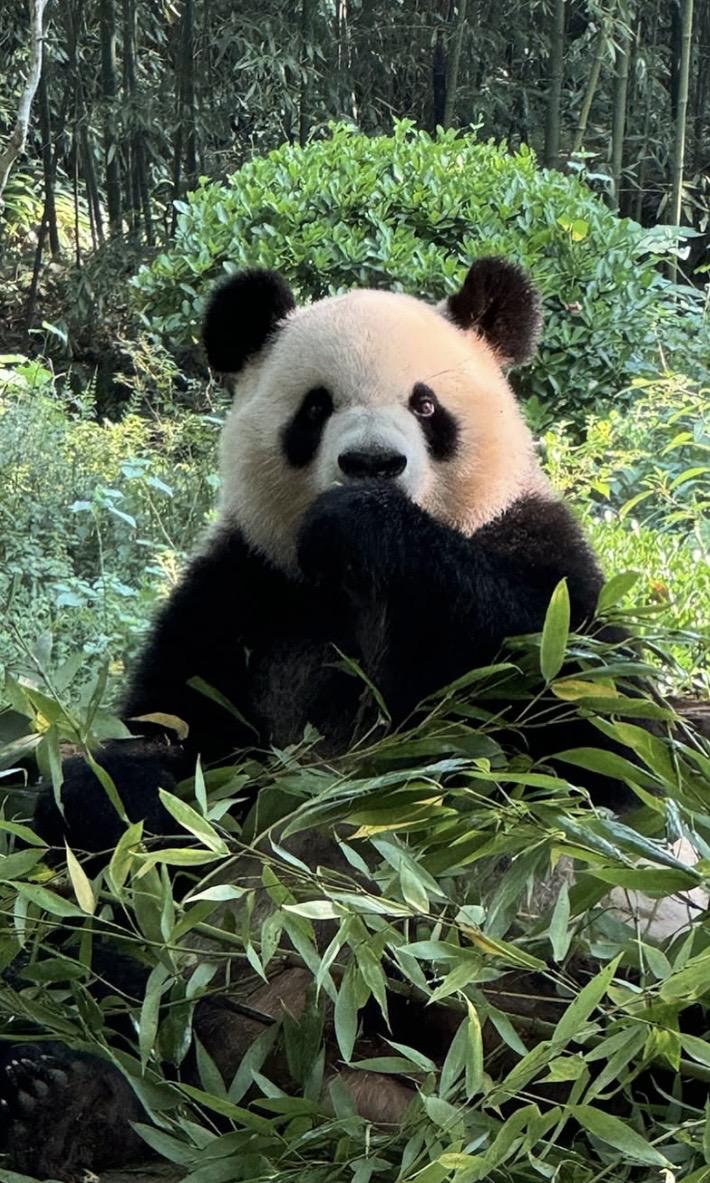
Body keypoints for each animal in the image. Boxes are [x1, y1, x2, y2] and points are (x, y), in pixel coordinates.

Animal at [1, 258, 639, 1179]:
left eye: (426, 406)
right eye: (314, 408)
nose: (372, 464)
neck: (346, 587)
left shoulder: (539, 560)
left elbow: (591, 738)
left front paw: (372, 523)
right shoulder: (241, 596)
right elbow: (166, 749)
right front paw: (129, 791)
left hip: (543, 1002)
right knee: (106, 958)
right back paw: (71, 1100)